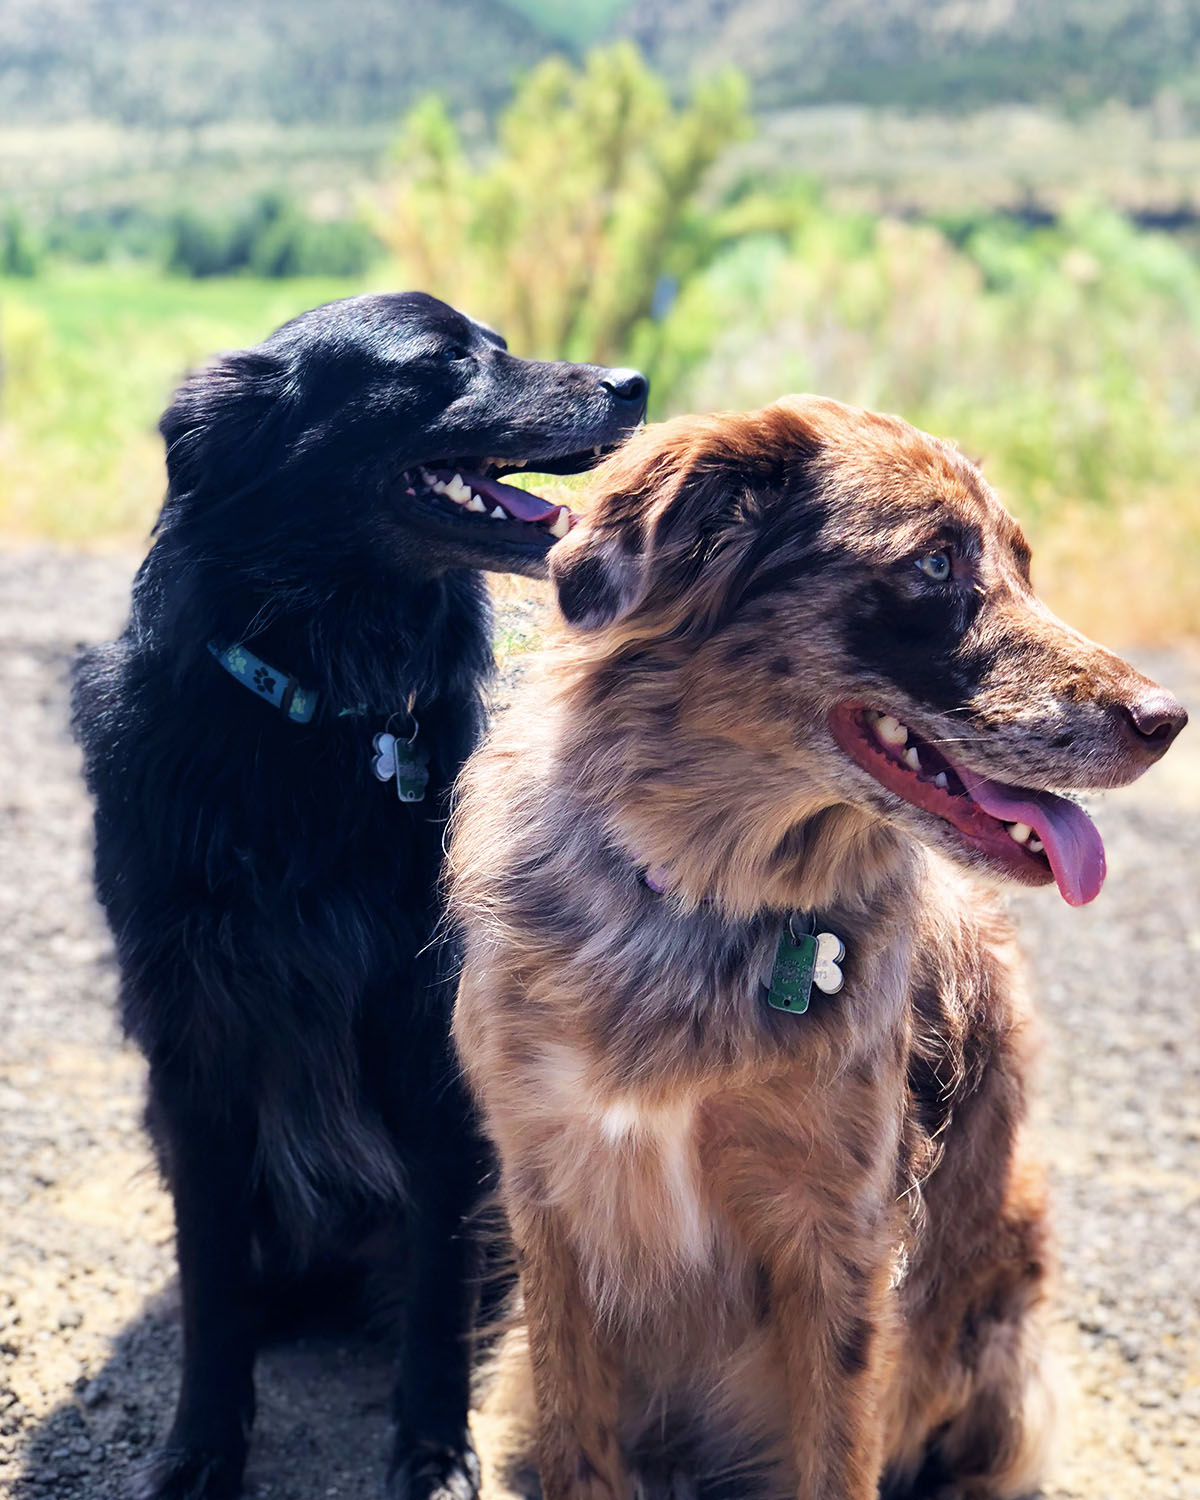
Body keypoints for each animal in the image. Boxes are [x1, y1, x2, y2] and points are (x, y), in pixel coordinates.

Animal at [71, 292, 651, 1500]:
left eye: (500, 342)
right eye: (441, 363)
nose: (635, 384)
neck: (329, 713)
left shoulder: (433, 1052)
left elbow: (435, 1286)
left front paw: (430, 1447)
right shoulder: (193, 1048)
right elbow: (211, 1283)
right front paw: (202, 1446)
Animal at [447, 399, 1182, 1500]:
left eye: (1023, 564)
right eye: (935, 563)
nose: (1167, 719)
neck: (705, 897)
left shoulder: (841, 1233)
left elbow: (837, 1449)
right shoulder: (549, 1194)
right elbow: (581, 1442)